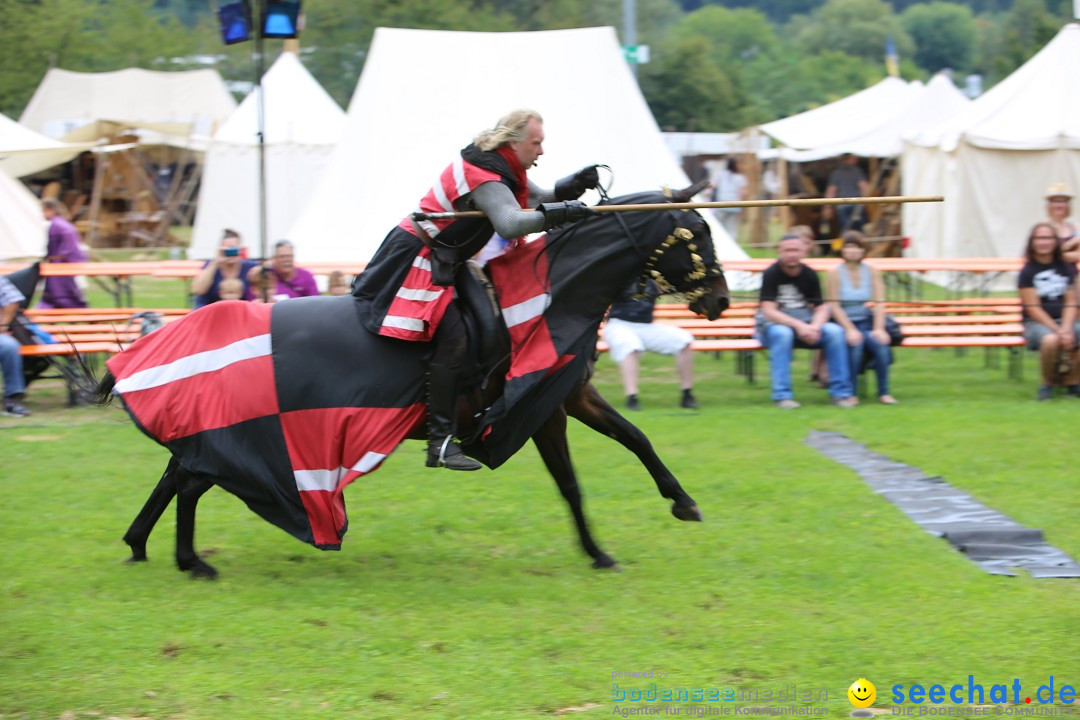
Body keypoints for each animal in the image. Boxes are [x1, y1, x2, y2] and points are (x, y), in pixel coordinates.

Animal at [97, 187, 730, 578]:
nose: (721, 302)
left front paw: (682, 503)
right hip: (244, 431)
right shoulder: (543, 409)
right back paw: (189, 560)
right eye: (698, 234)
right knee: (190, 479)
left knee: (179, 470)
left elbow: (635, 438)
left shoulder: (571, 396)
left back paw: (142, 545)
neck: (557, 291)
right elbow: (571, 483)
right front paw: (599, 552)